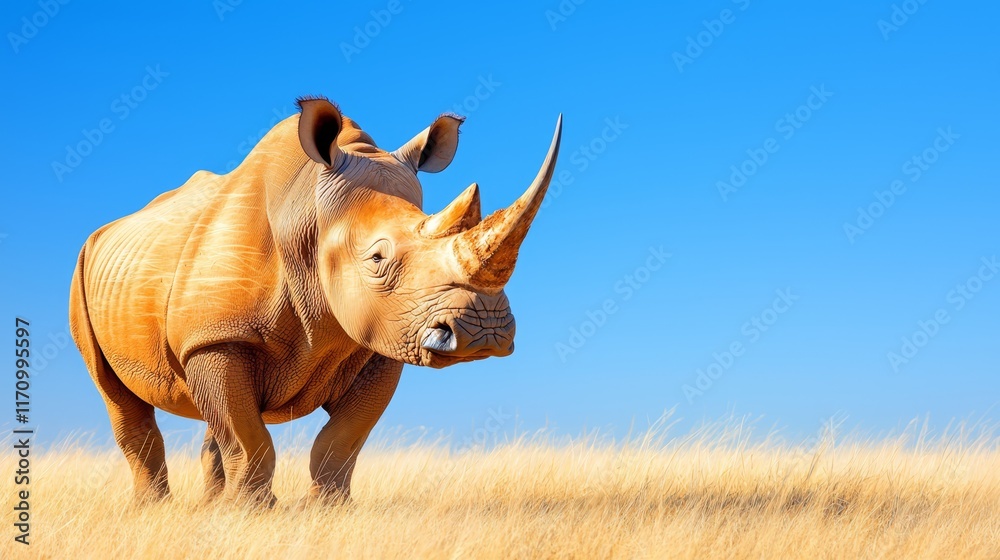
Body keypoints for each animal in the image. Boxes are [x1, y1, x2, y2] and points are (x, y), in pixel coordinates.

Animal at [69, 98, 561, 504]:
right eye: (378, 257)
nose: (485, 333)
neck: (309, 218)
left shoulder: (380, 340)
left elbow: (341, 440)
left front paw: (328, 510)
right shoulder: (217, 337)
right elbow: (249, 439)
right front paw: (251, 514)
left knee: (212, 413)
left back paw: (207, 507)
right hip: (83, 272)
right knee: (120, 398)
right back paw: (155, 509)